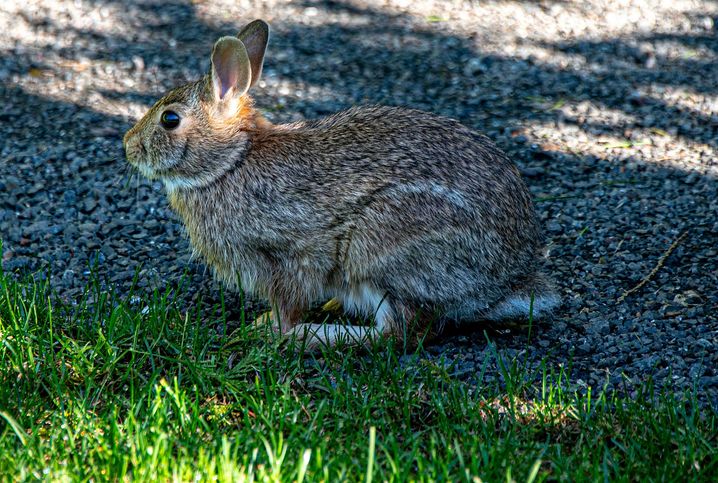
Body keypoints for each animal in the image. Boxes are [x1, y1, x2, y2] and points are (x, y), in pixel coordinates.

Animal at [124, 19, 564, 352]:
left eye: (170, 120)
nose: (129, 146)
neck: (231, 161)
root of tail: (508, 281)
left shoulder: (287, 256)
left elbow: (289, 304)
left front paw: (267, 330)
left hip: (383, 246)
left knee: (400, 333)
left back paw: (313, 337)